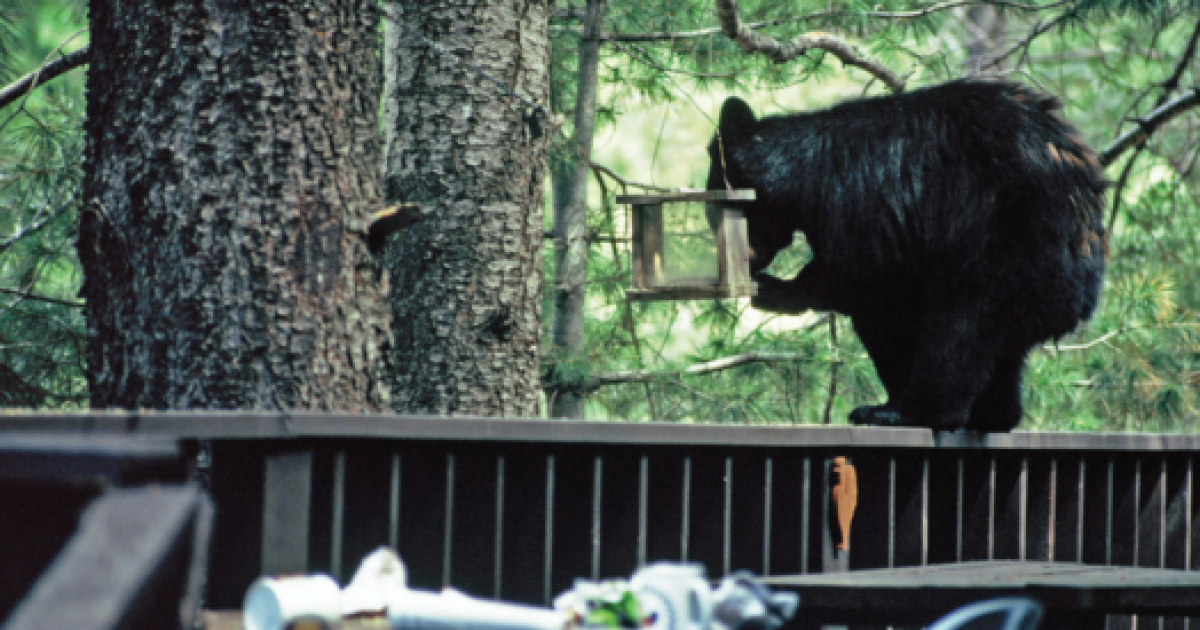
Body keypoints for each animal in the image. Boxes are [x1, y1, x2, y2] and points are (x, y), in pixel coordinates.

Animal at [706, 79, 1107, 432]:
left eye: (716, 212)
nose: (747, 261)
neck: (804, 173)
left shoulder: (862, 200)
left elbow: (868, 280)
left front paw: (777, 290)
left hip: (1005, 250)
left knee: (958, 329)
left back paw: (907, 412)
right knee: (1001, 348)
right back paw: (995, 415)